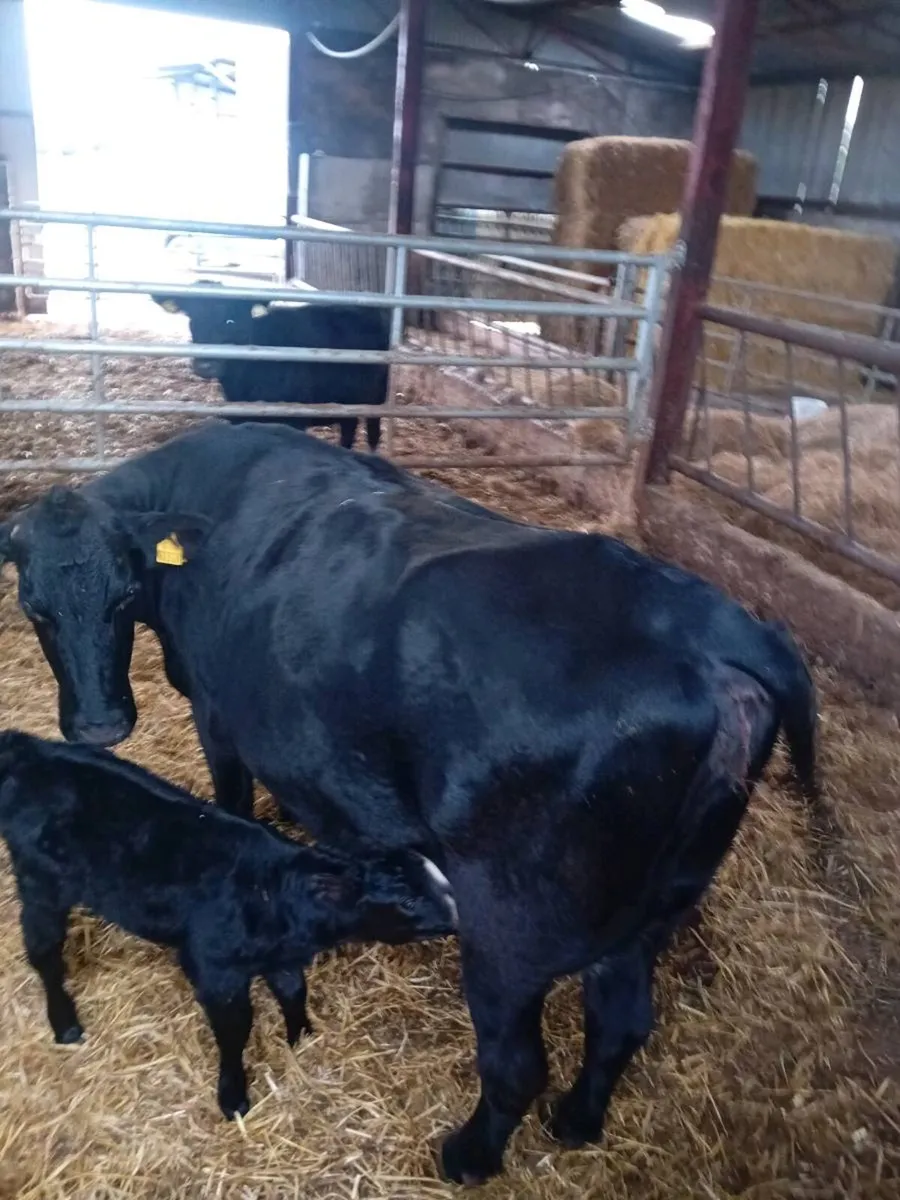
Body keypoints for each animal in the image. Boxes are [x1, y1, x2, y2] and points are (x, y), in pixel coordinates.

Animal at [0, 421, 821, 1184]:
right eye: (34, 606)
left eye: (122, 595)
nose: (100, 725)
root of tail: (716, 629)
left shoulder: (216, 715)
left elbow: (235, 804)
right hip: (661, 903)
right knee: (619, 1021)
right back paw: (578, 1122)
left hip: (507, 929)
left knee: (516, 1064)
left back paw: (469, 1156)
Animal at [152, 284, 390, 451]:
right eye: (192, 319)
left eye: (231, 320)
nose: (205, 365)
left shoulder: (292, 419)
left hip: (377, 396)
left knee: (372, 432)